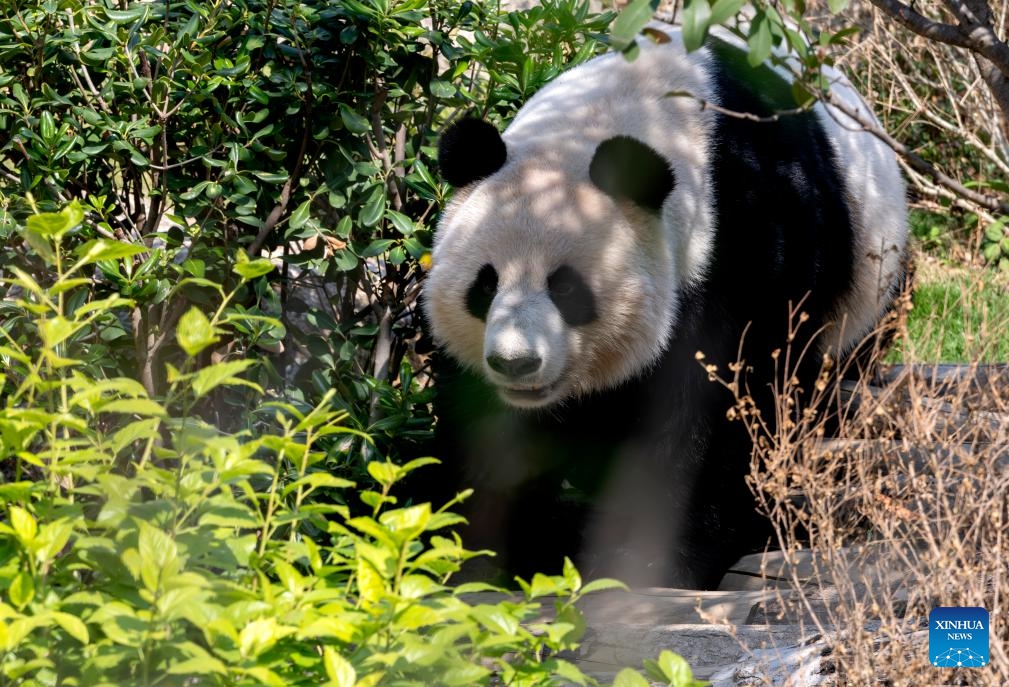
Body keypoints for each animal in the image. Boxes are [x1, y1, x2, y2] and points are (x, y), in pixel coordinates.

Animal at [422, 24, 907, 589]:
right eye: (485, 284)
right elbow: (486, 424)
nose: (516, 363)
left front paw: (658, 562)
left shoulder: (747, 241)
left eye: (566, 289)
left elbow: (720, 403)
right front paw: (475, 549)